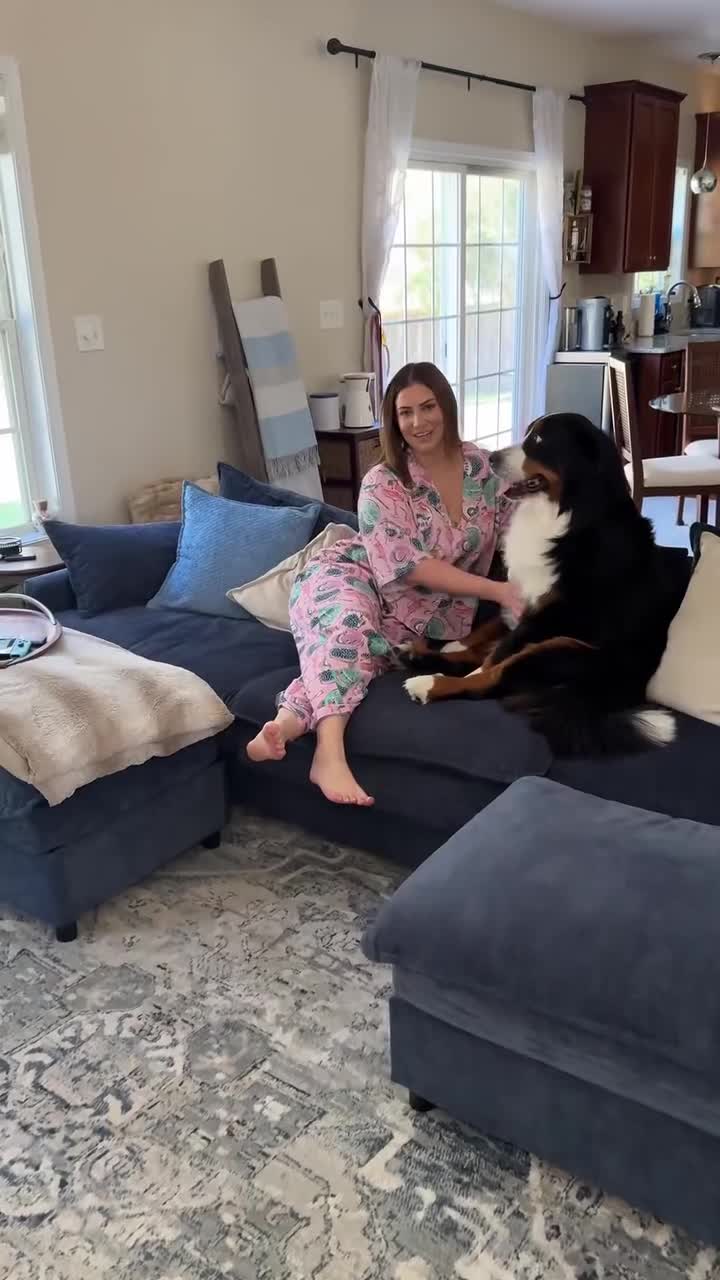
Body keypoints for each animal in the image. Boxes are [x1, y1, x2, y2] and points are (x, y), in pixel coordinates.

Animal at [403, 413, 683, 757]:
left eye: (539, 440)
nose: (492, 458)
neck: (565, 512)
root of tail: (618, 692)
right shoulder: (522, 599)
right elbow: (489, 630)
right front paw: (456, 643)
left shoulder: (551, 615)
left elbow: (495, 657)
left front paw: (452, 665)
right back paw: (416, 654)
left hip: (564, 649)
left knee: (491, 680)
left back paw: (428, 682)